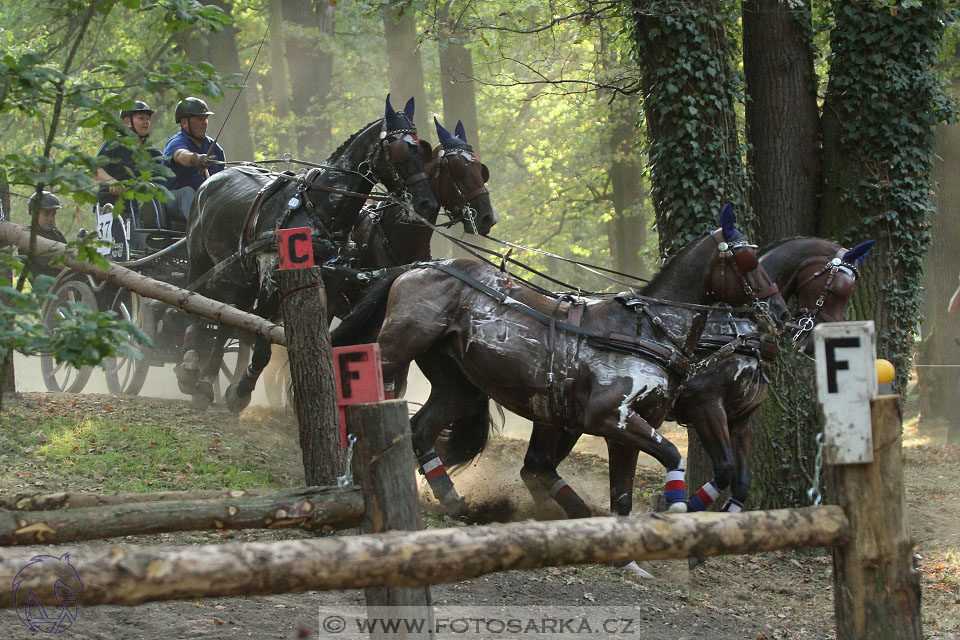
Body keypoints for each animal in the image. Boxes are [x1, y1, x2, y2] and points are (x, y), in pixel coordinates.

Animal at [175, 97, 438, 408]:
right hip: (201, 260)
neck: (319, 210)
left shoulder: (332, 283)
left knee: (225, 320)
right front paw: (240, 392)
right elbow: (262, 342)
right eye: (399, 150)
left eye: (421, 149)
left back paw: (205, 382)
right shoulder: (270, 276)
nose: (426, 203)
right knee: (193, 302)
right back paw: (190, 368)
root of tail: (212, 177)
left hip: (238, 275)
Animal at [334, 205, 792, 516]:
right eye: (748, 261)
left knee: (422, 429)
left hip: (457, 384)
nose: (781, 312)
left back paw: (453, 500)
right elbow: (677, 459)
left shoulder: (634, 423)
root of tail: (422, 265)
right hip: (395, 352)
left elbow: (624, 491)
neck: (648, 328)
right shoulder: (614, 416)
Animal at [516, 238, 876, 524]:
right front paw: (679, 507)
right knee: (536, 464)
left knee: (535, 465)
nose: (816, 341)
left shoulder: (740, 418)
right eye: (837, 290)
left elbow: (742, 480)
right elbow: (726, 468)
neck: (734, 327)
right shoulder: (706, 405)